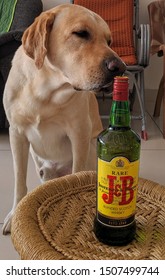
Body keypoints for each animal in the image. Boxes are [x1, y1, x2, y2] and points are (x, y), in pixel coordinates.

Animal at [2, 3, 125, 234]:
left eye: (109, 41)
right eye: (81, 33)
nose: (120, 68)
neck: (45, 91)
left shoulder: (79, 134)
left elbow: (76, 175)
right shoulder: (17, 134)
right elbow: (19, 182)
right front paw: (14, 215)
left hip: (92, 150)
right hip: (41, 165)